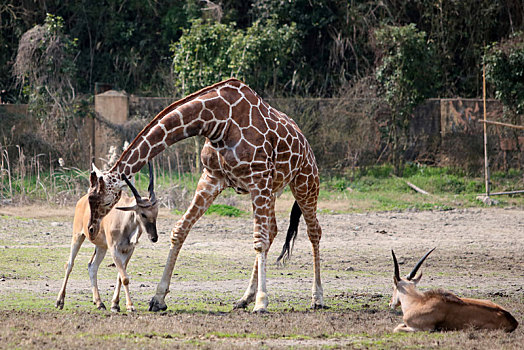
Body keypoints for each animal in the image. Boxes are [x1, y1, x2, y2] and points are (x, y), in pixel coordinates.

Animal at [55, 163, 158, 314]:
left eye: (156, 212)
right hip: (78, 236)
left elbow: (121, 276)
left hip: (101, 247)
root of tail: (82, 200)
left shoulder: (128, 250)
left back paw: (99, 303)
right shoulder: (114, 249)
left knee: (92, 266)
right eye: (143, 214)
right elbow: (125, 278)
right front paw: (130, 306)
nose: (154, 237)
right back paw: (59, 301)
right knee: (69, 264)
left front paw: (115, 304)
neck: (124, 221)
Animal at [86, 78, 324, 314]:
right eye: (89, 197)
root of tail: (305, 142)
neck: (217, 120)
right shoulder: (212, 177)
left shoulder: (258, 178)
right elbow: (180, 230)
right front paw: (158, 298)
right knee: (273, 229)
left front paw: (262, 302)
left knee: (313, 231)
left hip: (304, 181)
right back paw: (244, 298)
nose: (91, 229)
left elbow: (259, 241)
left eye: (103, 199)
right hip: (272, 189)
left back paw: (317, 298)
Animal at [388, 247, 516, 332]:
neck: (418, 302)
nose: (390, 303)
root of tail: (513, 320)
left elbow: (397, 328)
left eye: (393, 286)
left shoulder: (422, 328)